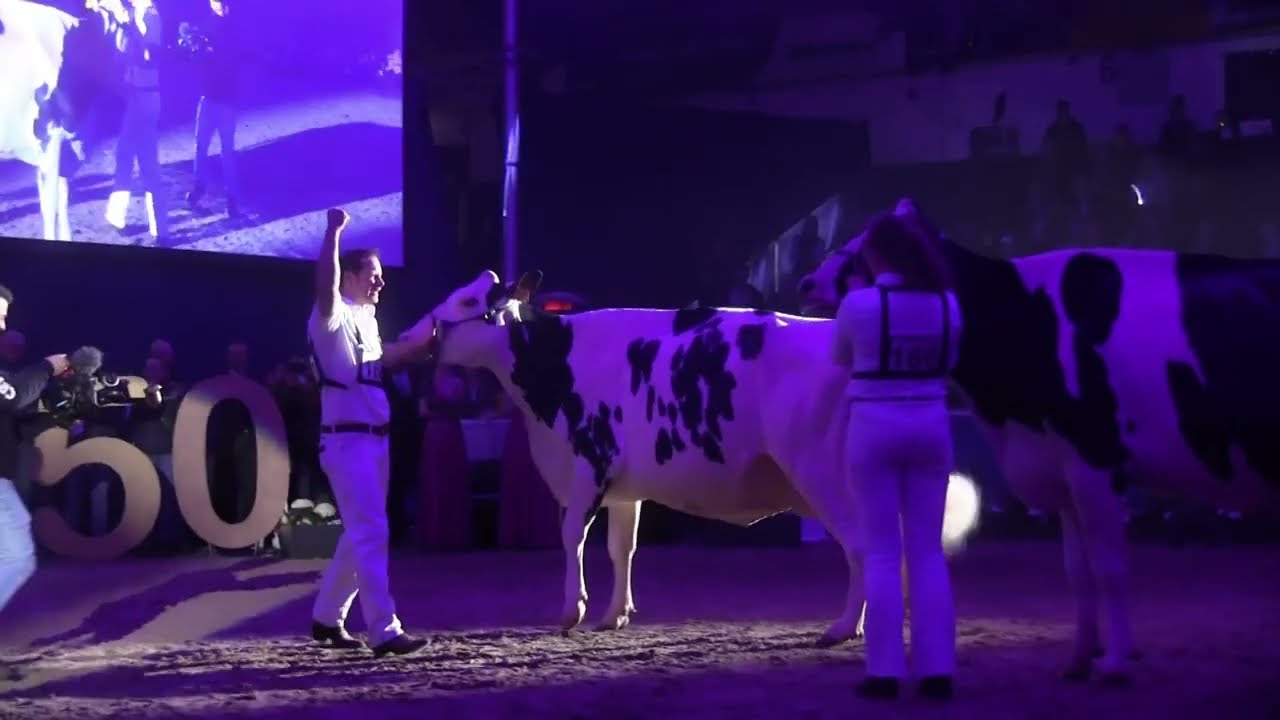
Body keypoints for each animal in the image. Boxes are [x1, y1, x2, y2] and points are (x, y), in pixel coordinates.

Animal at [406, 269, 981, 647]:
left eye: (468, 301)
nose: (420, 334)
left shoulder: (589, 464)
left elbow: (572, 537)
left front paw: (573, 610)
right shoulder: (625, 486)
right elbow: (622, 547)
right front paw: (614, 615)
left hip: (824, 475)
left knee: (862, 546)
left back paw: (843, 628)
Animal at [796, 197, 1280, 684]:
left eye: (864, 244)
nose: (806, 281)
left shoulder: (1095, 459)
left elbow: (1109, 568)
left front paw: (1114, 662)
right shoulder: (1060, 468)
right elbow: (1077, 571)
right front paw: (1079, 658)